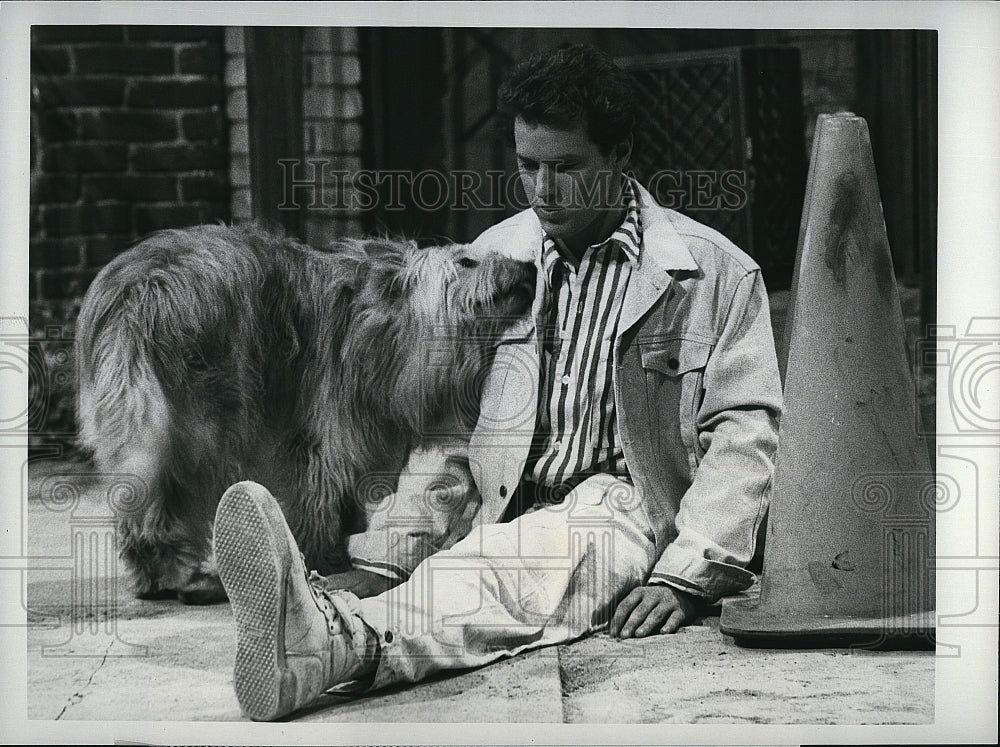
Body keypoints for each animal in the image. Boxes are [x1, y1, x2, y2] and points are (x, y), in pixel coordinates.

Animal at [76, 225, 540, 604]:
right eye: (466, 261)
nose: (529, 267)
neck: (389, 327)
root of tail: (134, 290)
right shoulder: (326, 426)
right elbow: (322, 491)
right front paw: (326, 558)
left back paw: (158, 575)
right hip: (199, 416)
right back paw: (180, 575)